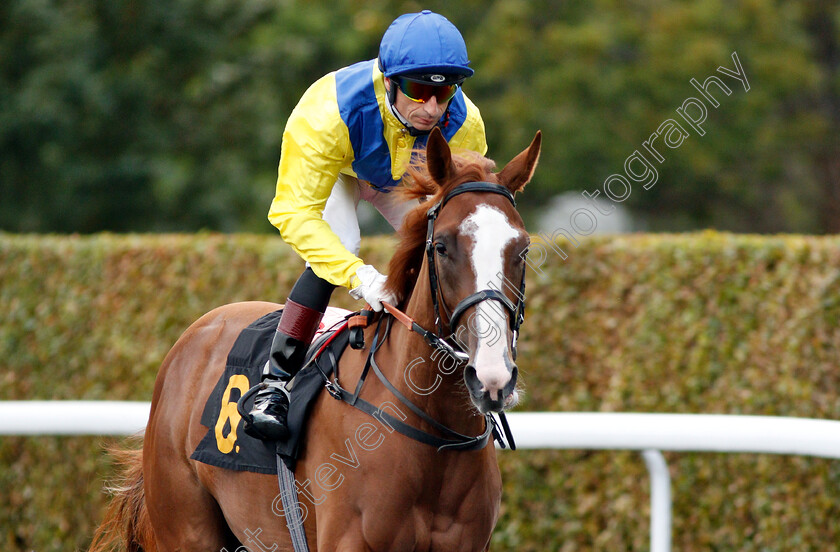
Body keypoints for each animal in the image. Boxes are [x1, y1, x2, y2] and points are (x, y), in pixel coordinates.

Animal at [90, 127, 540, 548]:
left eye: (522, 249)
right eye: (443, 246)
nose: (492, 376)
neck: (434, 435)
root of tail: (196, 331)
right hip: (185, 529)